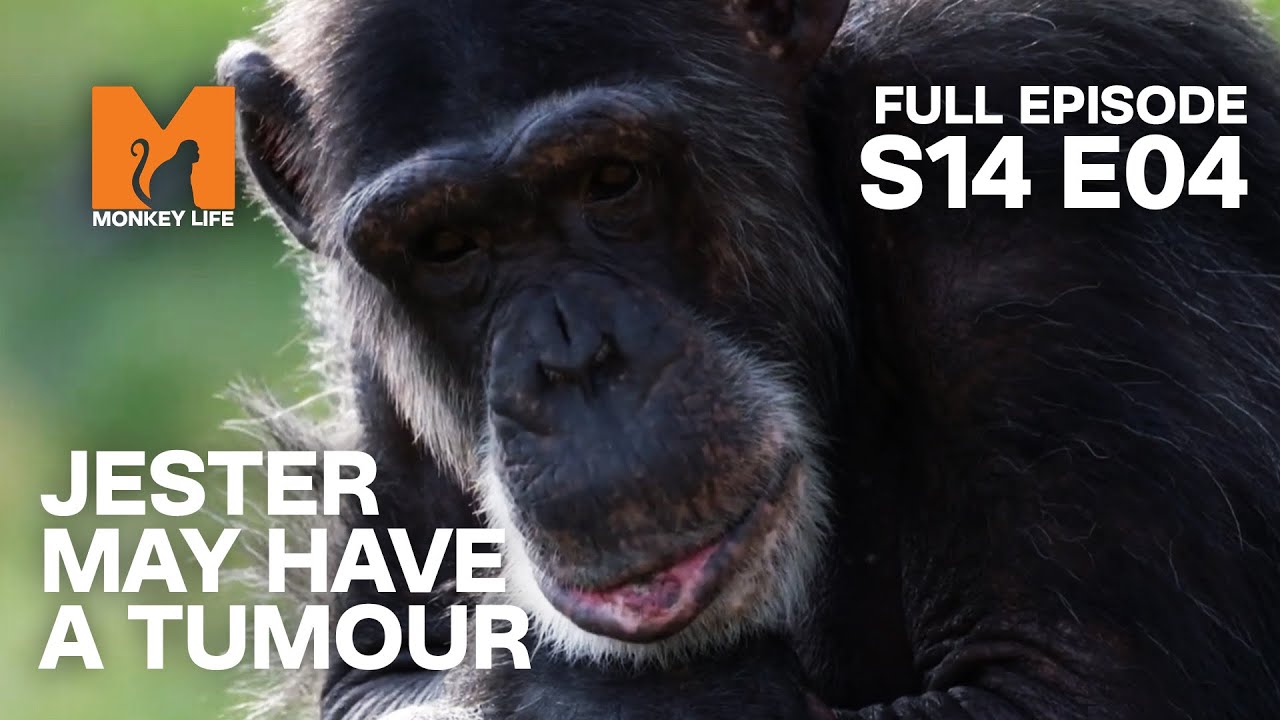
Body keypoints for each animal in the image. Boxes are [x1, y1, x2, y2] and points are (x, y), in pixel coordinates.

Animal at [216, 0, 1280, 718]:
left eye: (612, 179)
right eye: (446, 245)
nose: (575, 363)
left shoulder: (1035, 183)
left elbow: (1067, 684)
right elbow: (374, 674)